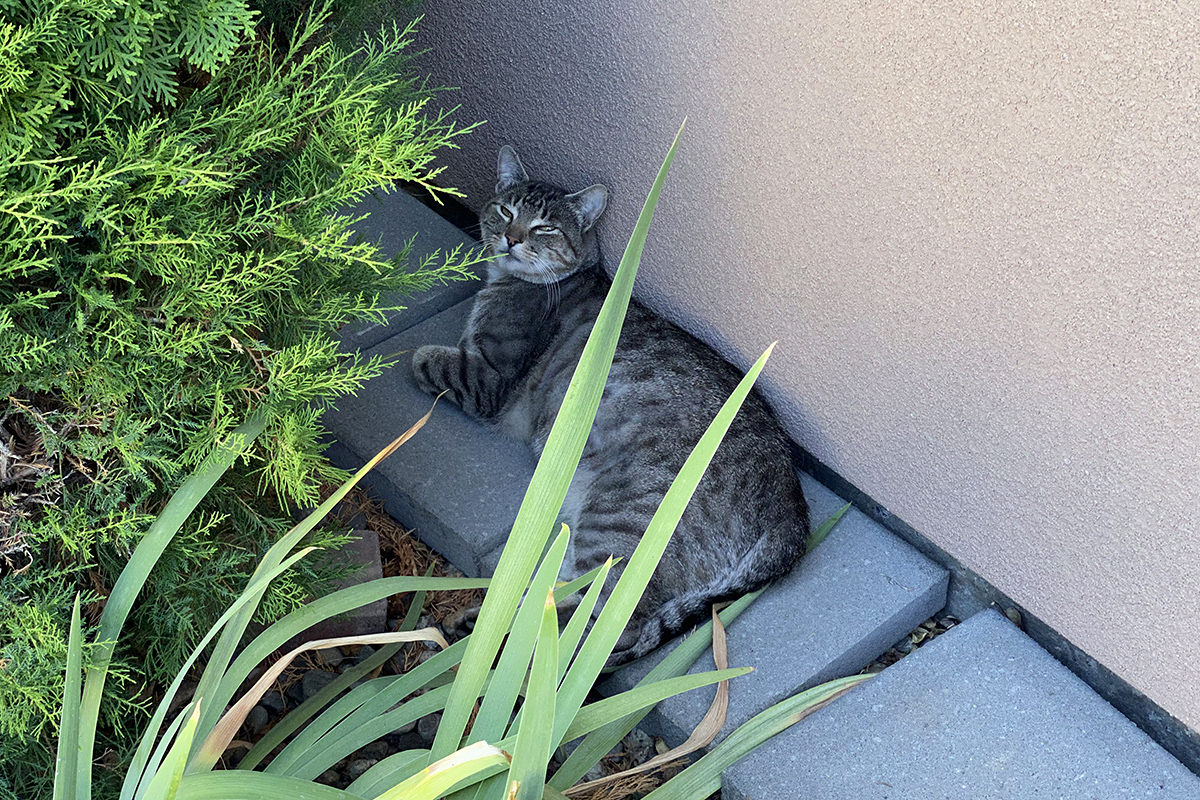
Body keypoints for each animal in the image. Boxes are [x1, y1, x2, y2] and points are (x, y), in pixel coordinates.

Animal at [408, 146, 811, 666]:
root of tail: (791, 506)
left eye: (545, 227)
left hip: (622, 518)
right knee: (570, 602)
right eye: (507, 211)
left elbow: (425, 360)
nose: (512, 238)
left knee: (608, 628)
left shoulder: (488, 377)